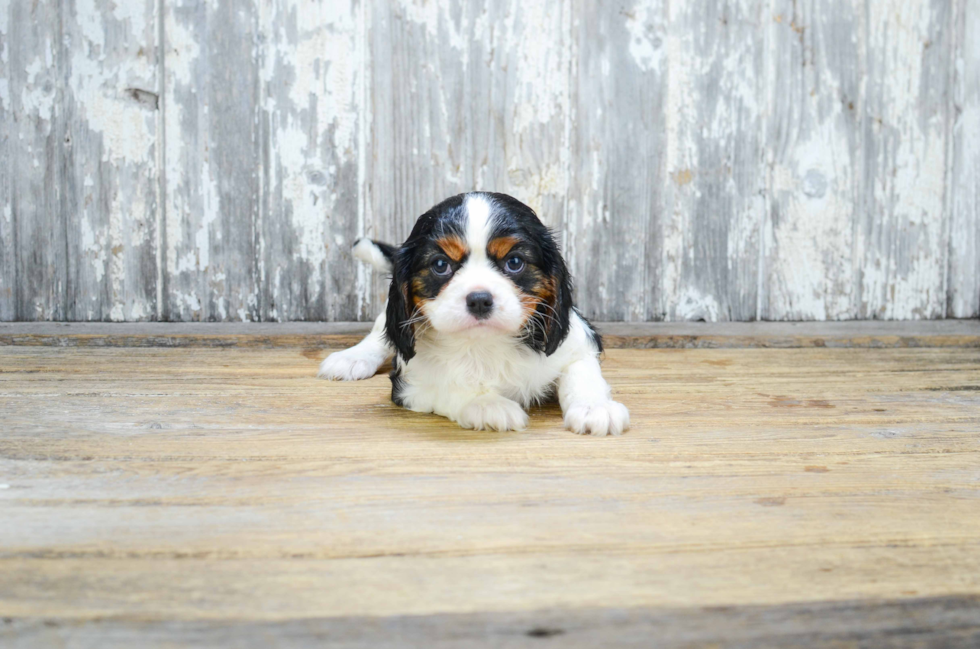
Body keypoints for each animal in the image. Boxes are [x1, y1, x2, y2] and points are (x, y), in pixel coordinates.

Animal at [318, 191, 632, 436]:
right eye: (440, 265)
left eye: (514, 262)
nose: (480, 300)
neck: (484, 344)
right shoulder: (411, 384)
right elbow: (448, 386)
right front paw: (487, 405)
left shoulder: (579, 342)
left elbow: (582, 373)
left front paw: (594, 407)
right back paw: (353, 357)